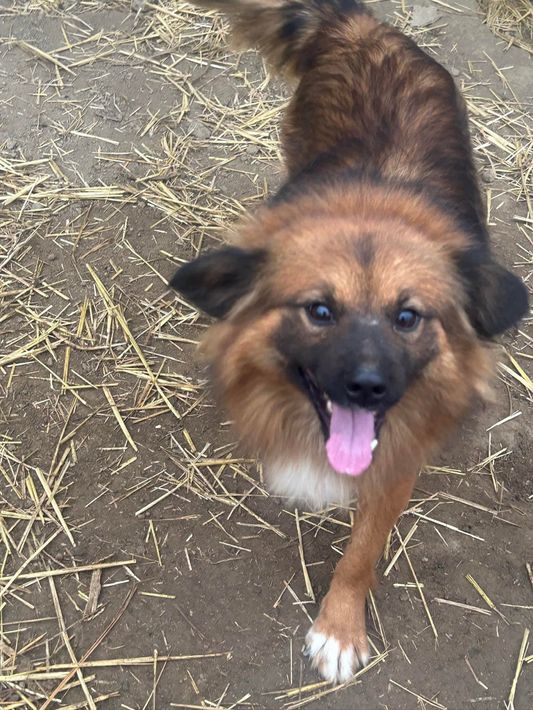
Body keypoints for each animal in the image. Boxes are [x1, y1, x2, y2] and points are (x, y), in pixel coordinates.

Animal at [169, 0, 528, 683]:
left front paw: (340, 626)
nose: (368, 388)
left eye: (408, 317)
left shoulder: (397, 458)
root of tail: (365, 27)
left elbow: (362, 552)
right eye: (319, 311)